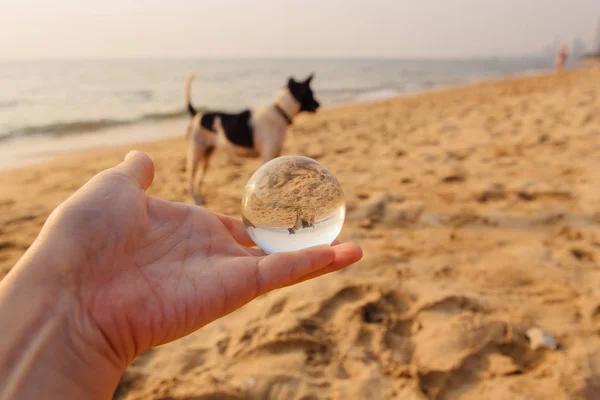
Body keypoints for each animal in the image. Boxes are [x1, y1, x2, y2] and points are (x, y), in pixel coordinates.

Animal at [185, 72, 322, 205]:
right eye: (310, 93)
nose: (319, 105)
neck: (279, 111)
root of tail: (197, 115)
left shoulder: (276, 154)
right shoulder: (267, 155)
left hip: (207, 155)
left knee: (199, 178)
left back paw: (200, 197)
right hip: (196, 154)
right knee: (191, 179)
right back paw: (195, 199)